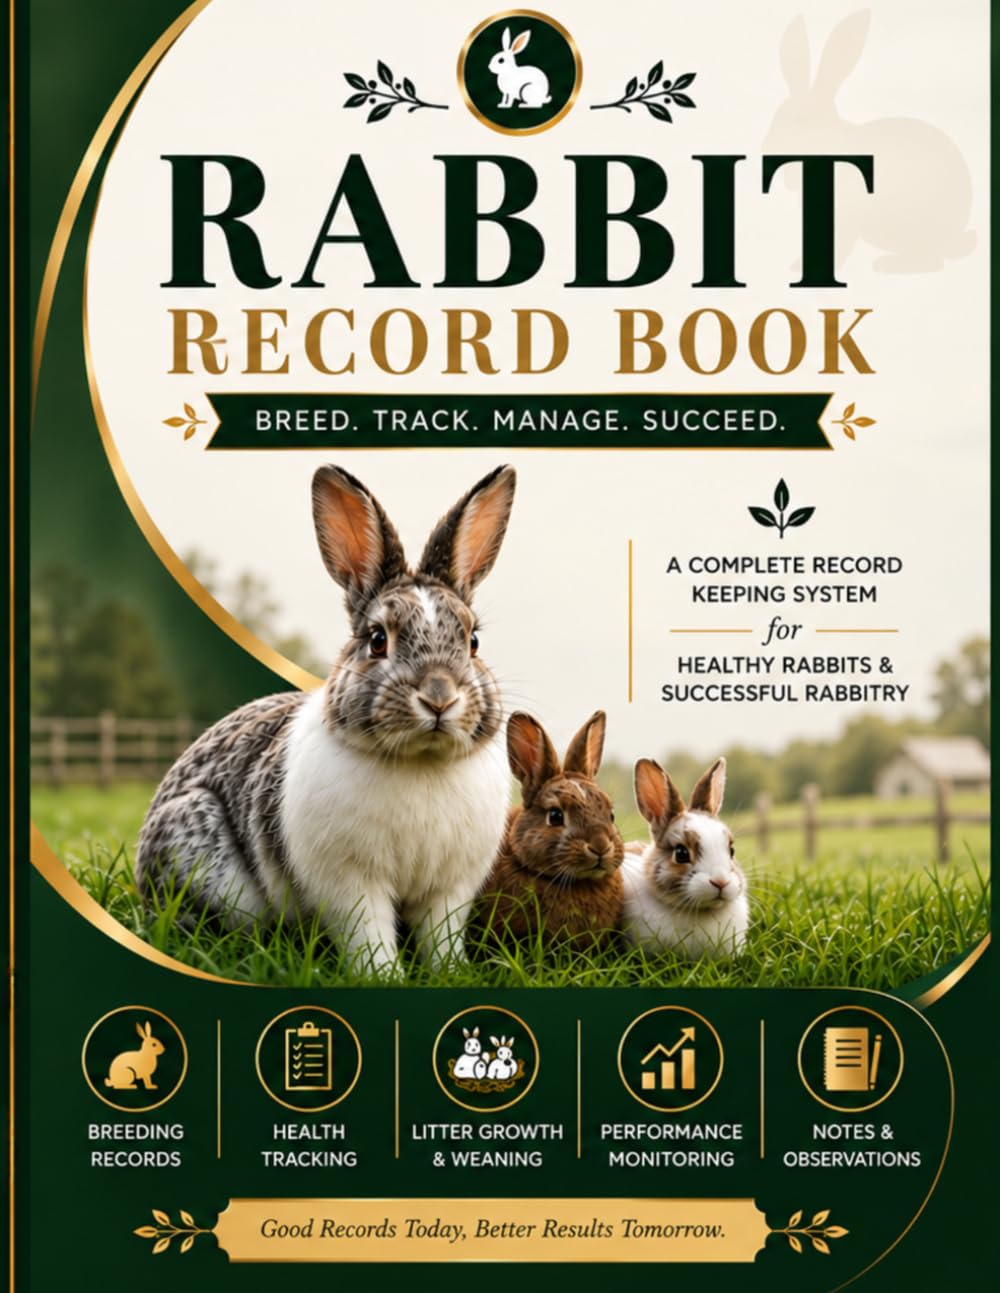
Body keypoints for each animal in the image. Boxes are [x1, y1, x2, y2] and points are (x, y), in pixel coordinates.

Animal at [136, 464, 517, 975]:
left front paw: (450, 972)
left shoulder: (449, 890)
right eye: (377, 640)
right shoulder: (351, 882)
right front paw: (384, 977)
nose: (439, 697)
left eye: (473, 641)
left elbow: (441, 935)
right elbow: (367, 932)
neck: (421, 763)